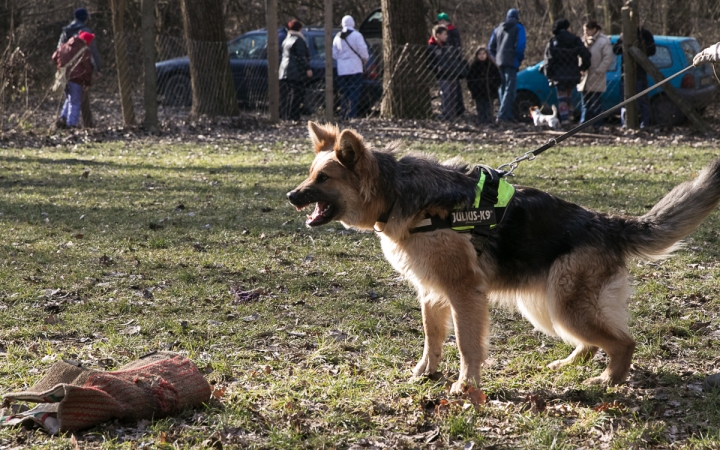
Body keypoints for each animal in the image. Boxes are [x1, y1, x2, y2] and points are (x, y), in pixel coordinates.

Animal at [286, 122, 720, 394]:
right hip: (548, 305)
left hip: (562, 306)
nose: (291, 196)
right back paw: (570, 365)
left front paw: (465, 385)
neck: (398, 193)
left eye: (323, 178)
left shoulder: (464, 293)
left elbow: (467, 344)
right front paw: (425, 374)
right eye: (310, 174)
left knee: (624, 342)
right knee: (595, 342)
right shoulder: (431, 292)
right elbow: (432, 338)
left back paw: (608, 382)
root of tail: (609, 222)